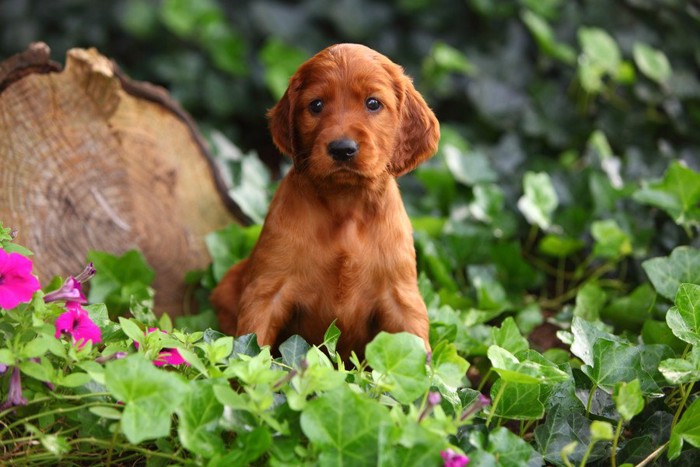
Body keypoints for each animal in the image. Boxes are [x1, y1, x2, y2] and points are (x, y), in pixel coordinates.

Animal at [209, 43, 438, 358]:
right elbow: (253, 340)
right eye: (316, 105)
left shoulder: (401, 296)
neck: (345, 204)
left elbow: (416, 347)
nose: (342, 149)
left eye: (373, 103)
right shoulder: (267, 289)